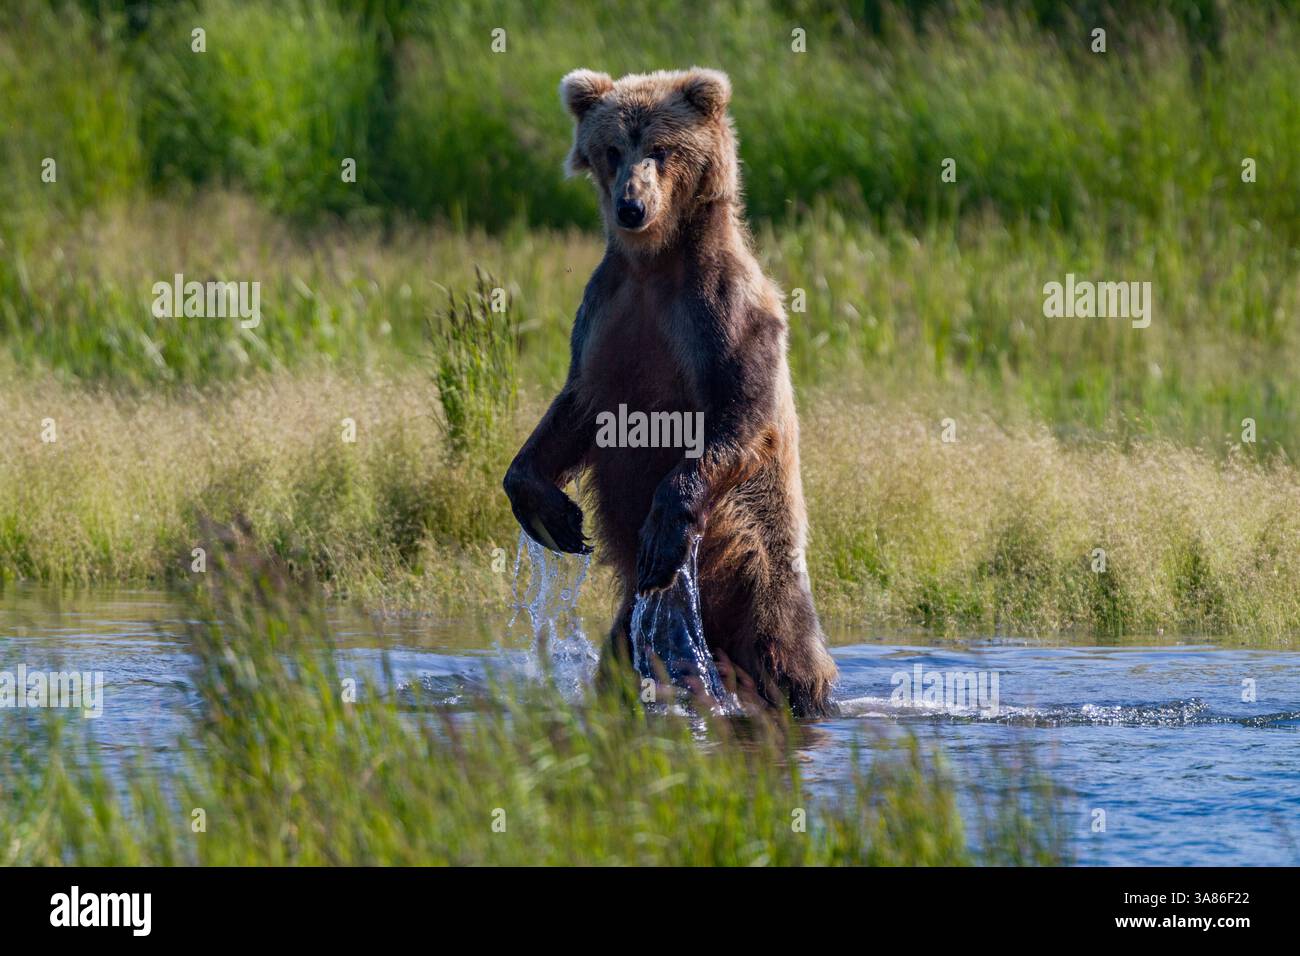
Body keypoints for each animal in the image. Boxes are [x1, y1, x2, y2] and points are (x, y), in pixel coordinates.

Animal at [503, 67, 837, 717]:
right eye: (613, 149)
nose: (631, 206)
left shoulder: (719, 310)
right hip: (635, 619)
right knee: (621, 657)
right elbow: (574, 410)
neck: (654, 266)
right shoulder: (605, 313)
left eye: (661, 149)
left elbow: (740, 411)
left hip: (761, 566)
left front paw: (663, 525)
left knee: (788, 656)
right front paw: (554, 513)